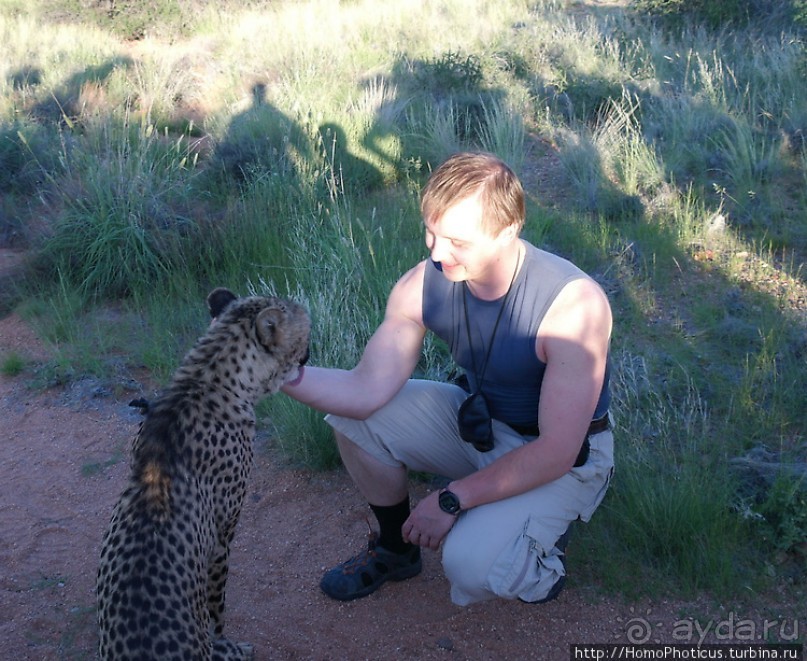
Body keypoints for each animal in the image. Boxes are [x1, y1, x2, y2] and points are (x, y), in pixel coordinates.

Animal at [95, 288, 310, 660]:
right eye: (306, 333)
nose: (310, 356)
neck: (205, 381)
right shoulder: (222, 535)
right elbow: (217, 608)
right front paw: (224, 632)